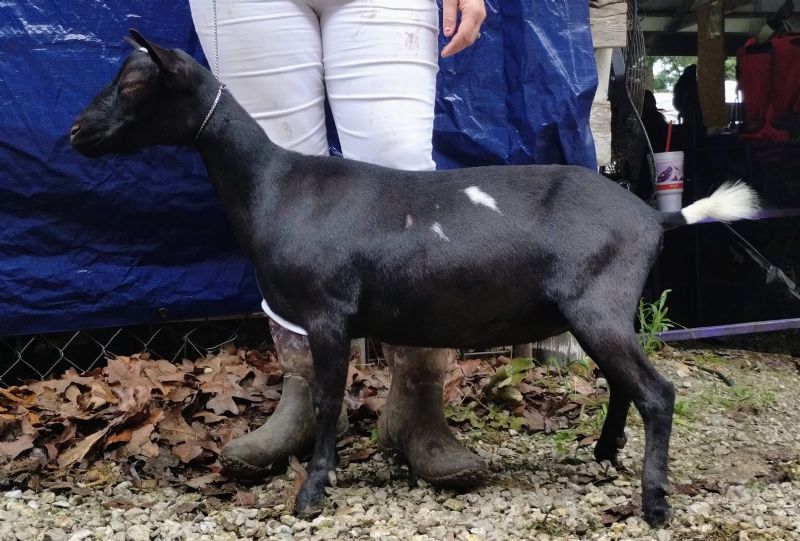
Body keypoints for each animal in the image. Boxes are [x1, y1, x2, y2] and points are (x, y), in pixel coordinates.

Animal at [70, 30, 760, 526]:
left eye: (133, 82)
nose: (76, 132)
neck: (278, 186)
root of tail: (652, 215)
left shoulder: (328, 310)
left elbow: (328, 400)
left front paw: (312, 492)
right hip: (599, 310)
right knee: (625, 383)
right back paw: (604, 453)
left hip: (599, 302)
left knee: (658, 392)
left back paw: (654, 504)